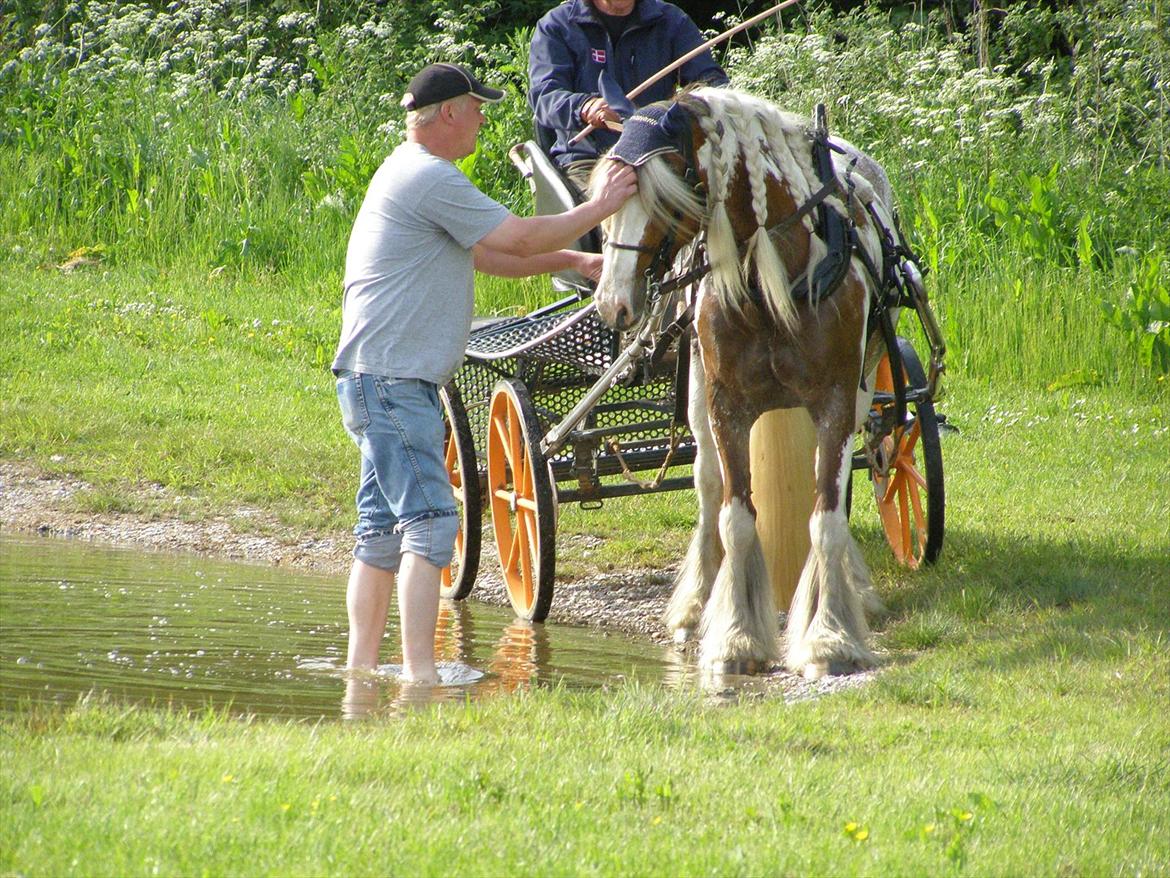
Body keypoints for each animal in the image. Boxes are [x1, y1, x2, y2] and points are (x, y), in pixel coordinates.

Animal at [589, 89, 898, 678]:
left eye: (664, 195)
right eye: (604, 198)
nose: (612, 304)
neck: (775, 276)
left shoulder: (836, 400)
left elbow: (826, 517)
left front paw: (829, 637)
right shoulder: (725, 404)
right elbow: (735, 517)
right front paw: (736, 635)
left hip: (864, 384)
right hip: (693, 396)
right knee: (708, 486)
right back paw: (695, 604)